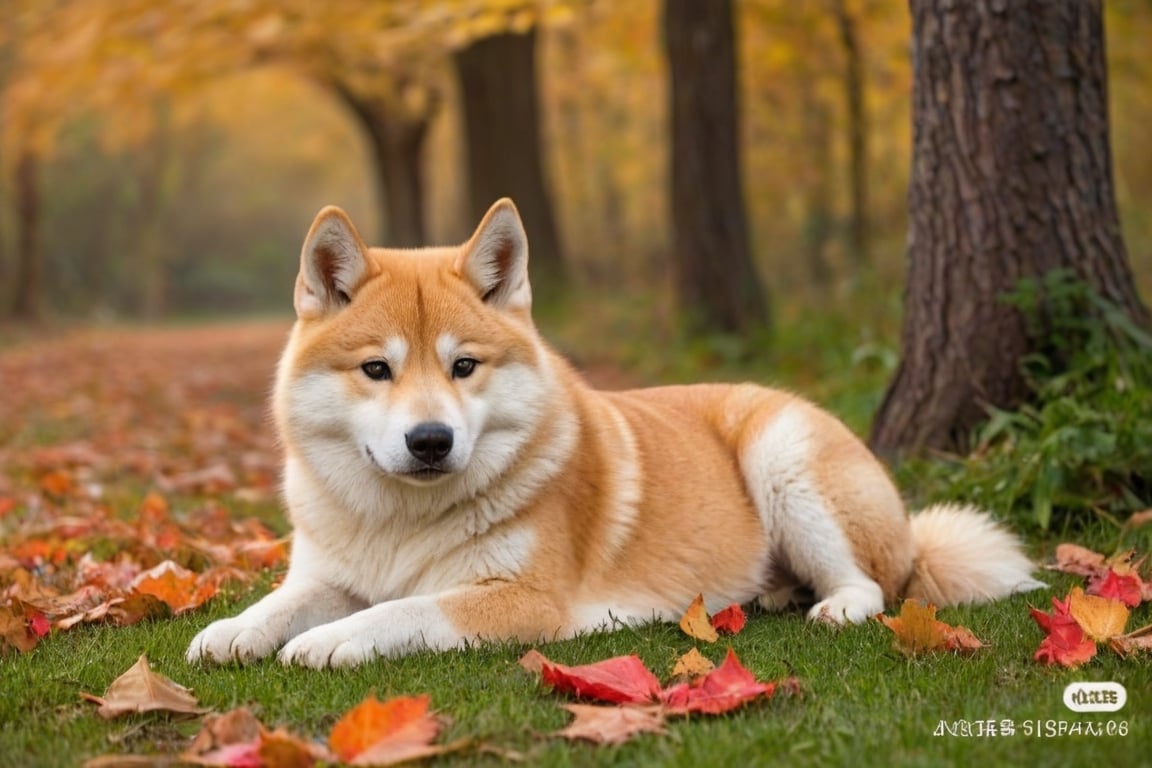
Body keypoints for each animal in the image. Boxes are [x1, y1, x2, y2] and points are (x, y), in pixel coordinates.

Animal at [188, 198, 1046, 667]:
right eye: (376, 370)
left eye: (463, 366)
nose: (431, 440)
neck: (400, 524)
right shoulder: (328, 574)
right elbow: (280, 602)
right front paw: (233, 629)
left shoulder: (522, 600)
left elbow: (401, 612)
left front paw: (337, 640)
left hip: (781, 459)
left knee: (873, 585)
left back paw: (832, 606)